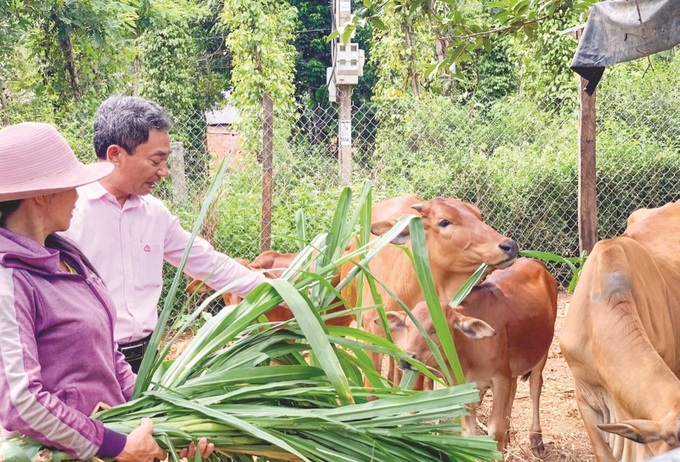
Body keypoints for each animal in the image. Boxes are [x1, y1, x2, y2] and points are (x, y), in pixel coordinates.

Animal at [388, 256, 556, 454]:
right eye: (407, 326)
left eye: (437, 329)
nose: (406, 359)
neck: (468, 354)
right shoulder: (467, 387)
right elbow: (469, 433)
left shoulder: (500, 379)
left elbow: (495, 429)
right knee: (515, 387)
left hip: (541, 353)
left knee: (535, 386)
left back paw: (536, 439)